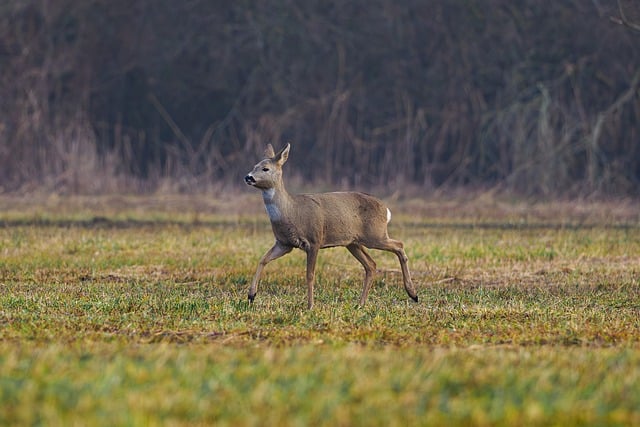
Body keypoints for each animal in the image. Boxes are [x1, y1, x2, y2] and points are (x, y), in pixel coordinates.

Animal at [244, 143, 419, 309]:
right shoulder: (284, 243)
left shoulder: (314, 240)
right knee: (371, 265)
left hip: (375, 235)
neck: (291, 211)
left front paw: (310, 305)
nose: (248, 177)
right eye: (254, 166)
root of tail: (386, 209)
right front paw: (251, 295)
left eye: (265, 168)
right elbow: (263, 259)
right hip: (353, 242)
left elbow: (310, 275)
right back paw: (361, 304)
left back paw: (413, 293)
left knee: (399, 245)